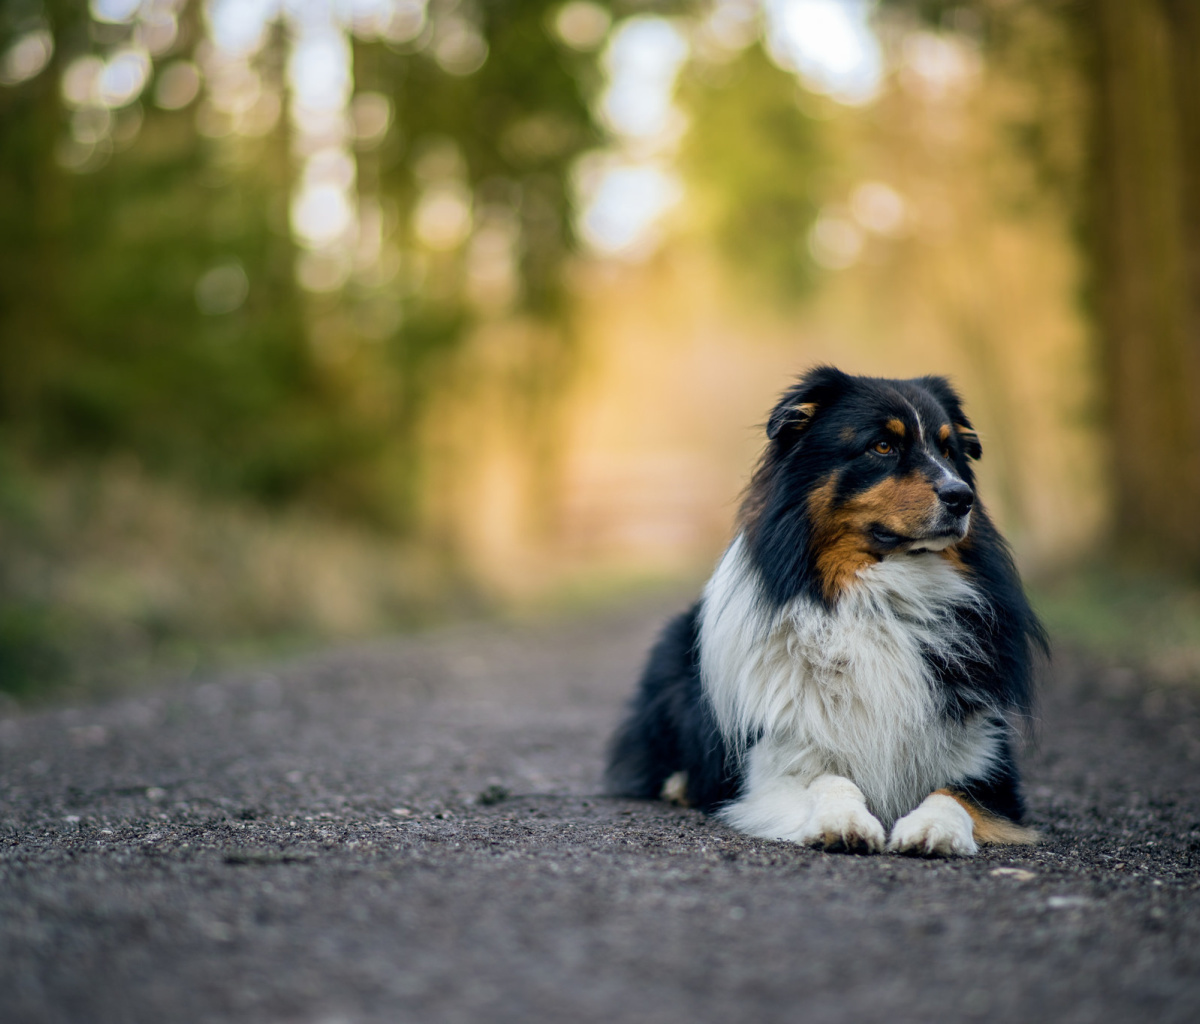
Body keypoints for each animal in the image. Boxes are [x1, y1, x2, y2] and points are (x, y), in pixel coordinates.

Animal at [604, 367, 1046, 854]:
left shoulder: (987, 762)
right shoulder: (774, 763)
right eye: (882, 446)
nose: (961, 496)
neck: (877, 598)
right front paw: (844, 822)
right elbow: (830, 779)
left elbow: (951, 795)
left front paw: (934, 830)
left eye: (949, 450)